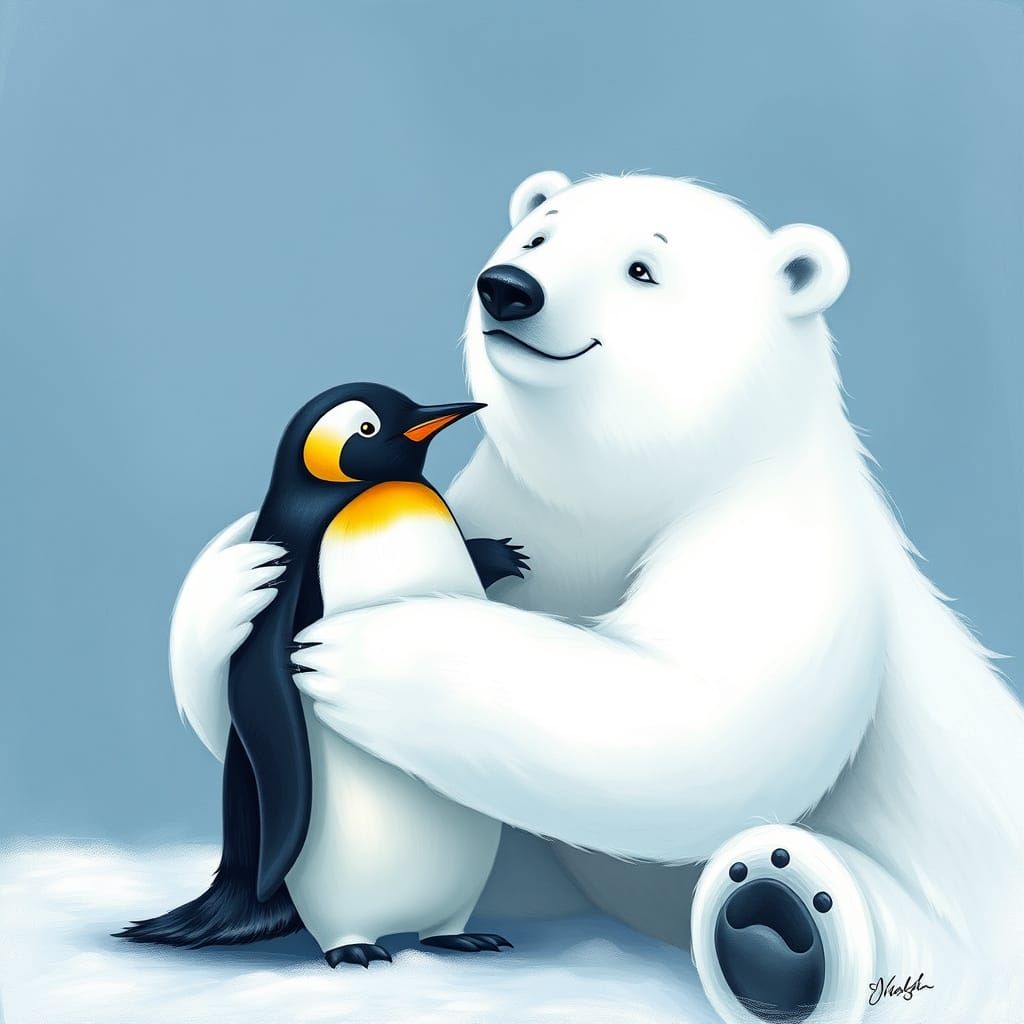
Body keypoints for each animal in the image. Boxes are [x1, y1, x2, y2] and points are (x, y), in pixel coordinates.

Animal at [172, 172, 1024, 1023]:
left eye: (642, 269)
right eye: (537, 235)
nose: (508, 287)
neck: (605, 501)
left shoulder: (778, 534)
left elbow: (704, 712)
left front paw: (365, 658)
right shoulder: (502, 500)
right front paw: (234, 580)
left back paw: (779, 910)